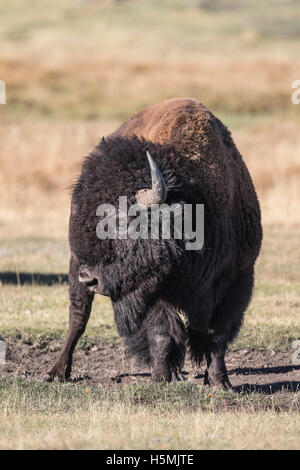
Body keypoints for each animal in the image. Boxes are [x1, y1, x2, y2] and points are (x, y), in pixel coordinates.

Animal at [44, 97, 262, 388]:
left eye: (121, 222)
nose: (90, 279)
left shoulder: (239, 279)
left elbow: (218, 336)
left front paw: (220, 383)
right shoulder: (151, 287)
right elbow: (163, 331)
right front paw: (160, 377)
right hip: (75, 267)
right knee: (78, 317)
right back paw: (56, 372)